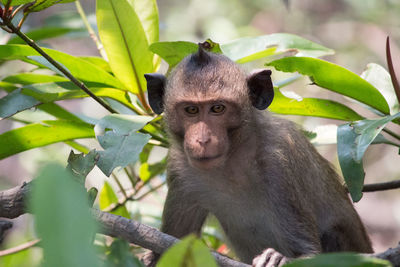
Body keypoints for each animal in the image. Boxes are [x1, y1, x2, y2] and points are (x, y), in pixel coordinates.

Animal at [143, 45, 372, 266]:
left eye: (217, 108)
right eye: (191, 110)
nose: (203, 139)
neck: (232, 158)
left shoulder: (279, 160)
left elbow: (309, 254)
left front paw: (278, 258)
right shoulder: (179, 169)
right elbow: (168, 248)